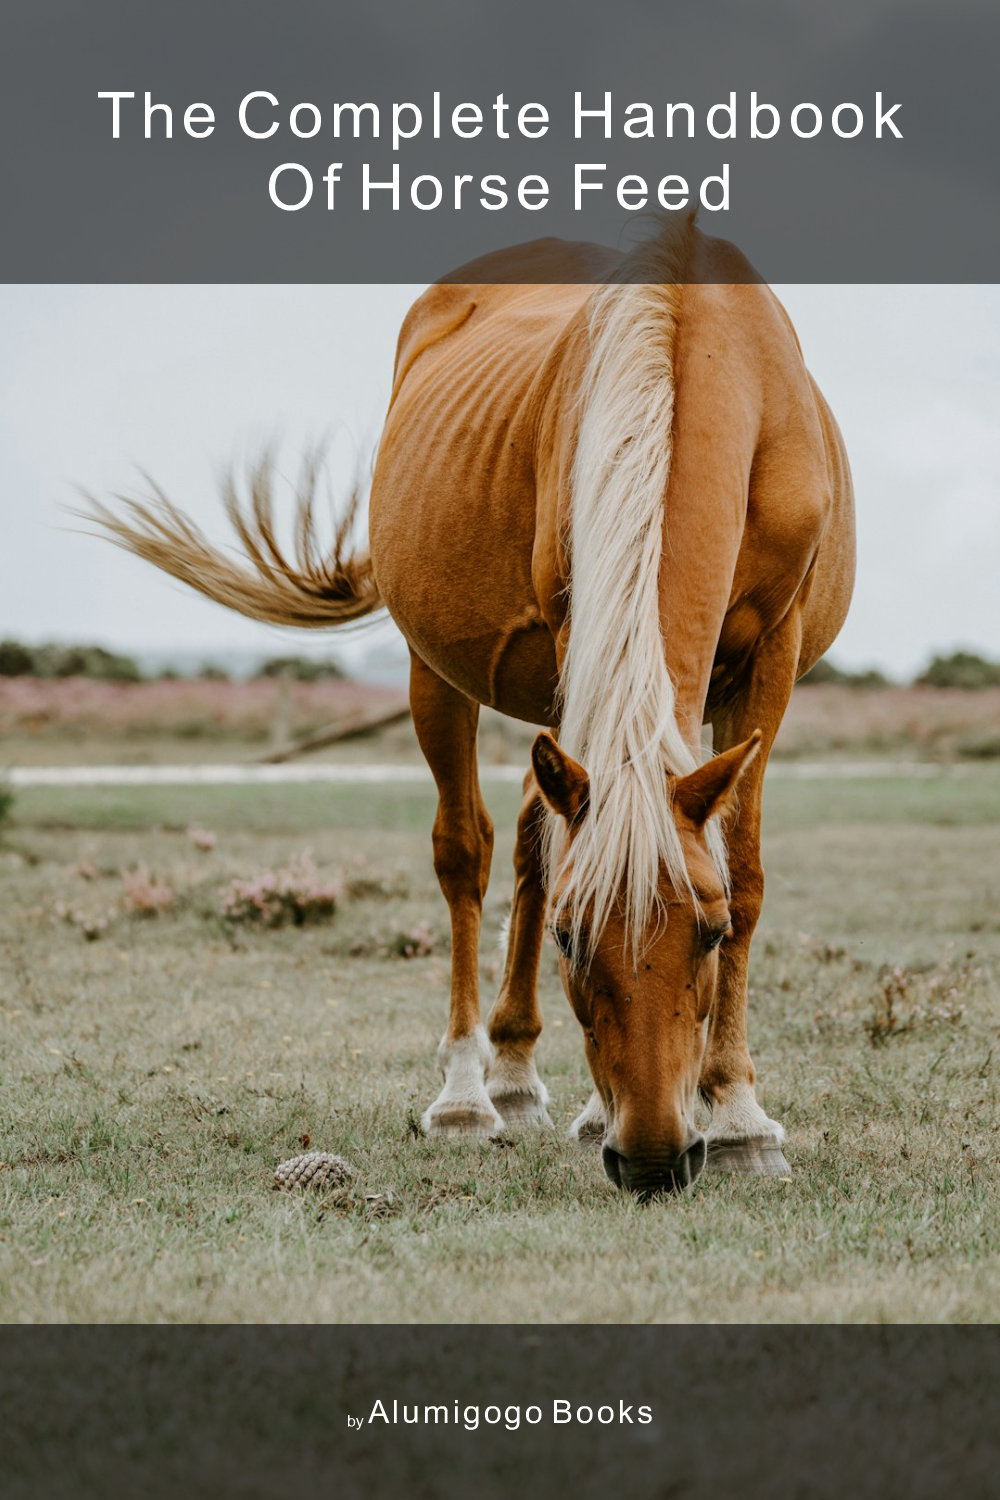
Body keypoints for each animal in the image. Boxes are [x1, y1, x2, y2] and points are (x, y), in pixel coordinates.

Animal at [91, 215, 855, 1197]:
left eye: (713, 933)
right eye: (568, 937)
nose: (651, 1158)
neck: (700, 358)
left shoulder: (773, 658)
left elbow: (747, 872)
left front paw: (739, 1118)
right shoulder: (577, 631)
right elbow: (534, 857)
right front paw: (609, 1105)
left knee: (534, 826)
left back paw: (532, 1080)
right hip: (439, 671)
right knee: (472, 851)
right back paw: (474, 1091)